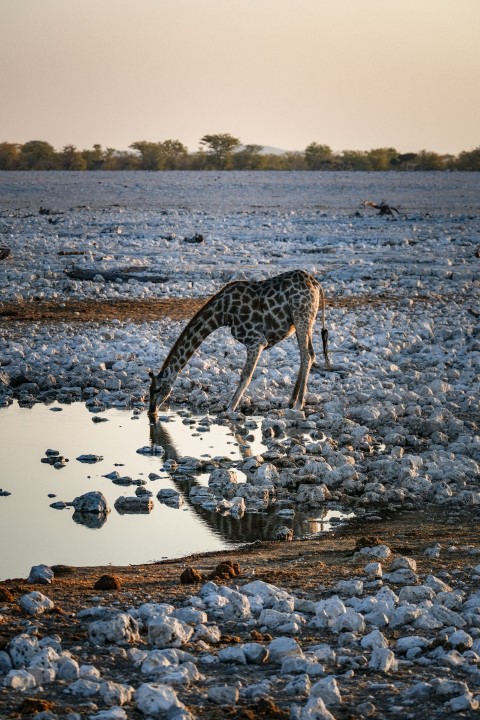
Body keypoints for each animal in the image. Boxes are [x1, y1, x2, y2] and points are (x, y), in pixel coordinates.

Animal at [148, 269, 331, 414]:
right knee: (309, 355)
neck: (221, 314)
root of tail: (316, 284)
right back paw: (291, 401)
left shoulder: (256, 340)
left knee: (306, 356)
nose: (151, 411)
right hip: (307, 320)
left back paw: (299, 404)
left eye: (157, 389)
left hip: (301, 316)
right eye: (149, 390)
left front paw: (230, 408)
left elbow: (245, 375)